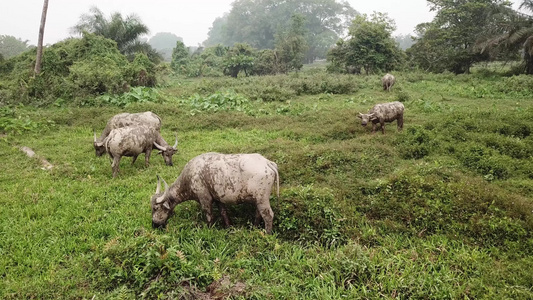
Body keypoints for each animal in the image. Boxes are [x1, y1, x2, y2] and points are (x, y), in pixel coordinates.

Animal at [150, 152, 278, 234]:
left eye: (156, 208)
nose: (154, 224)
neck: (190, 177)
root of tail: (267, 162)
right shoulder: (218, 199)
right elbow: (223, 212)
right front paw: (228, 227)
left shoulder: (205, 199)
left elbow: (209, 216)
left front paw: (210, 229)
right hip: (258, 200)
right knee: (258, 213)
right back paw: (254, 228)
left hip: (262, 199)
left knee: (268, 215)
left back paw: (267, 234)